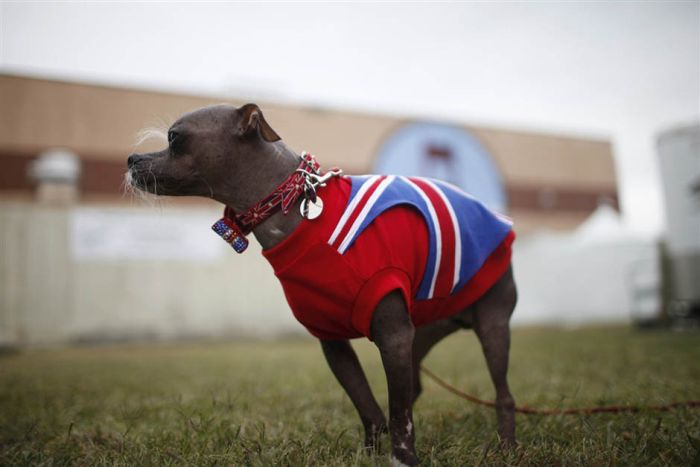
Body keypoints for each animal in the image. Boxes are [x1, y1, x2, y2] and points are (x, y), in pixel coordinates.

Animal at [129, 103, 516, 467]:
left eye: (174, 138)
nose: (133, 159)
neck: (291, 209)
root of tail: (497, 218)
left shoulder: (392, 335)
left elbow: (398, 414)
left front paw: (403, 459)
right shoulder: (333, 342)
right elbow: (370, 407)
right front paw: (370, 454)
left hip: (490, 325)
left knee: (501, 394)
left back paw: (506, 446)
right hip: (419, 336)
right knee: (410, 389)